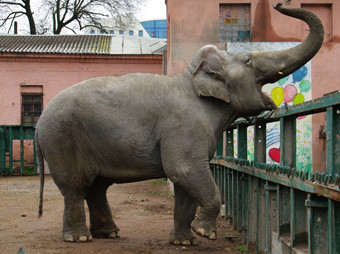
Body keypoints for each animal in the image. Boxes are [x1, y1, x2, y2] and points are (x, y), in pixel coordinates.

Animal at [36, 2, 324, 246]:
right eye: (248, 61)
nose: (279, 4)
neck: (191, 77)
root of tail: (38, 124)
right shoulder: (185, 125)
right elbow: (184, 170)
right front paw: (205, 233)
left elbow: (186, 182)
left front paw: (185, 241)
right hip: (62, 140)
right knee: (76, 186)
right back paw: (79, 238)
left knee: (97, 187)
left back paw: (109, 234)